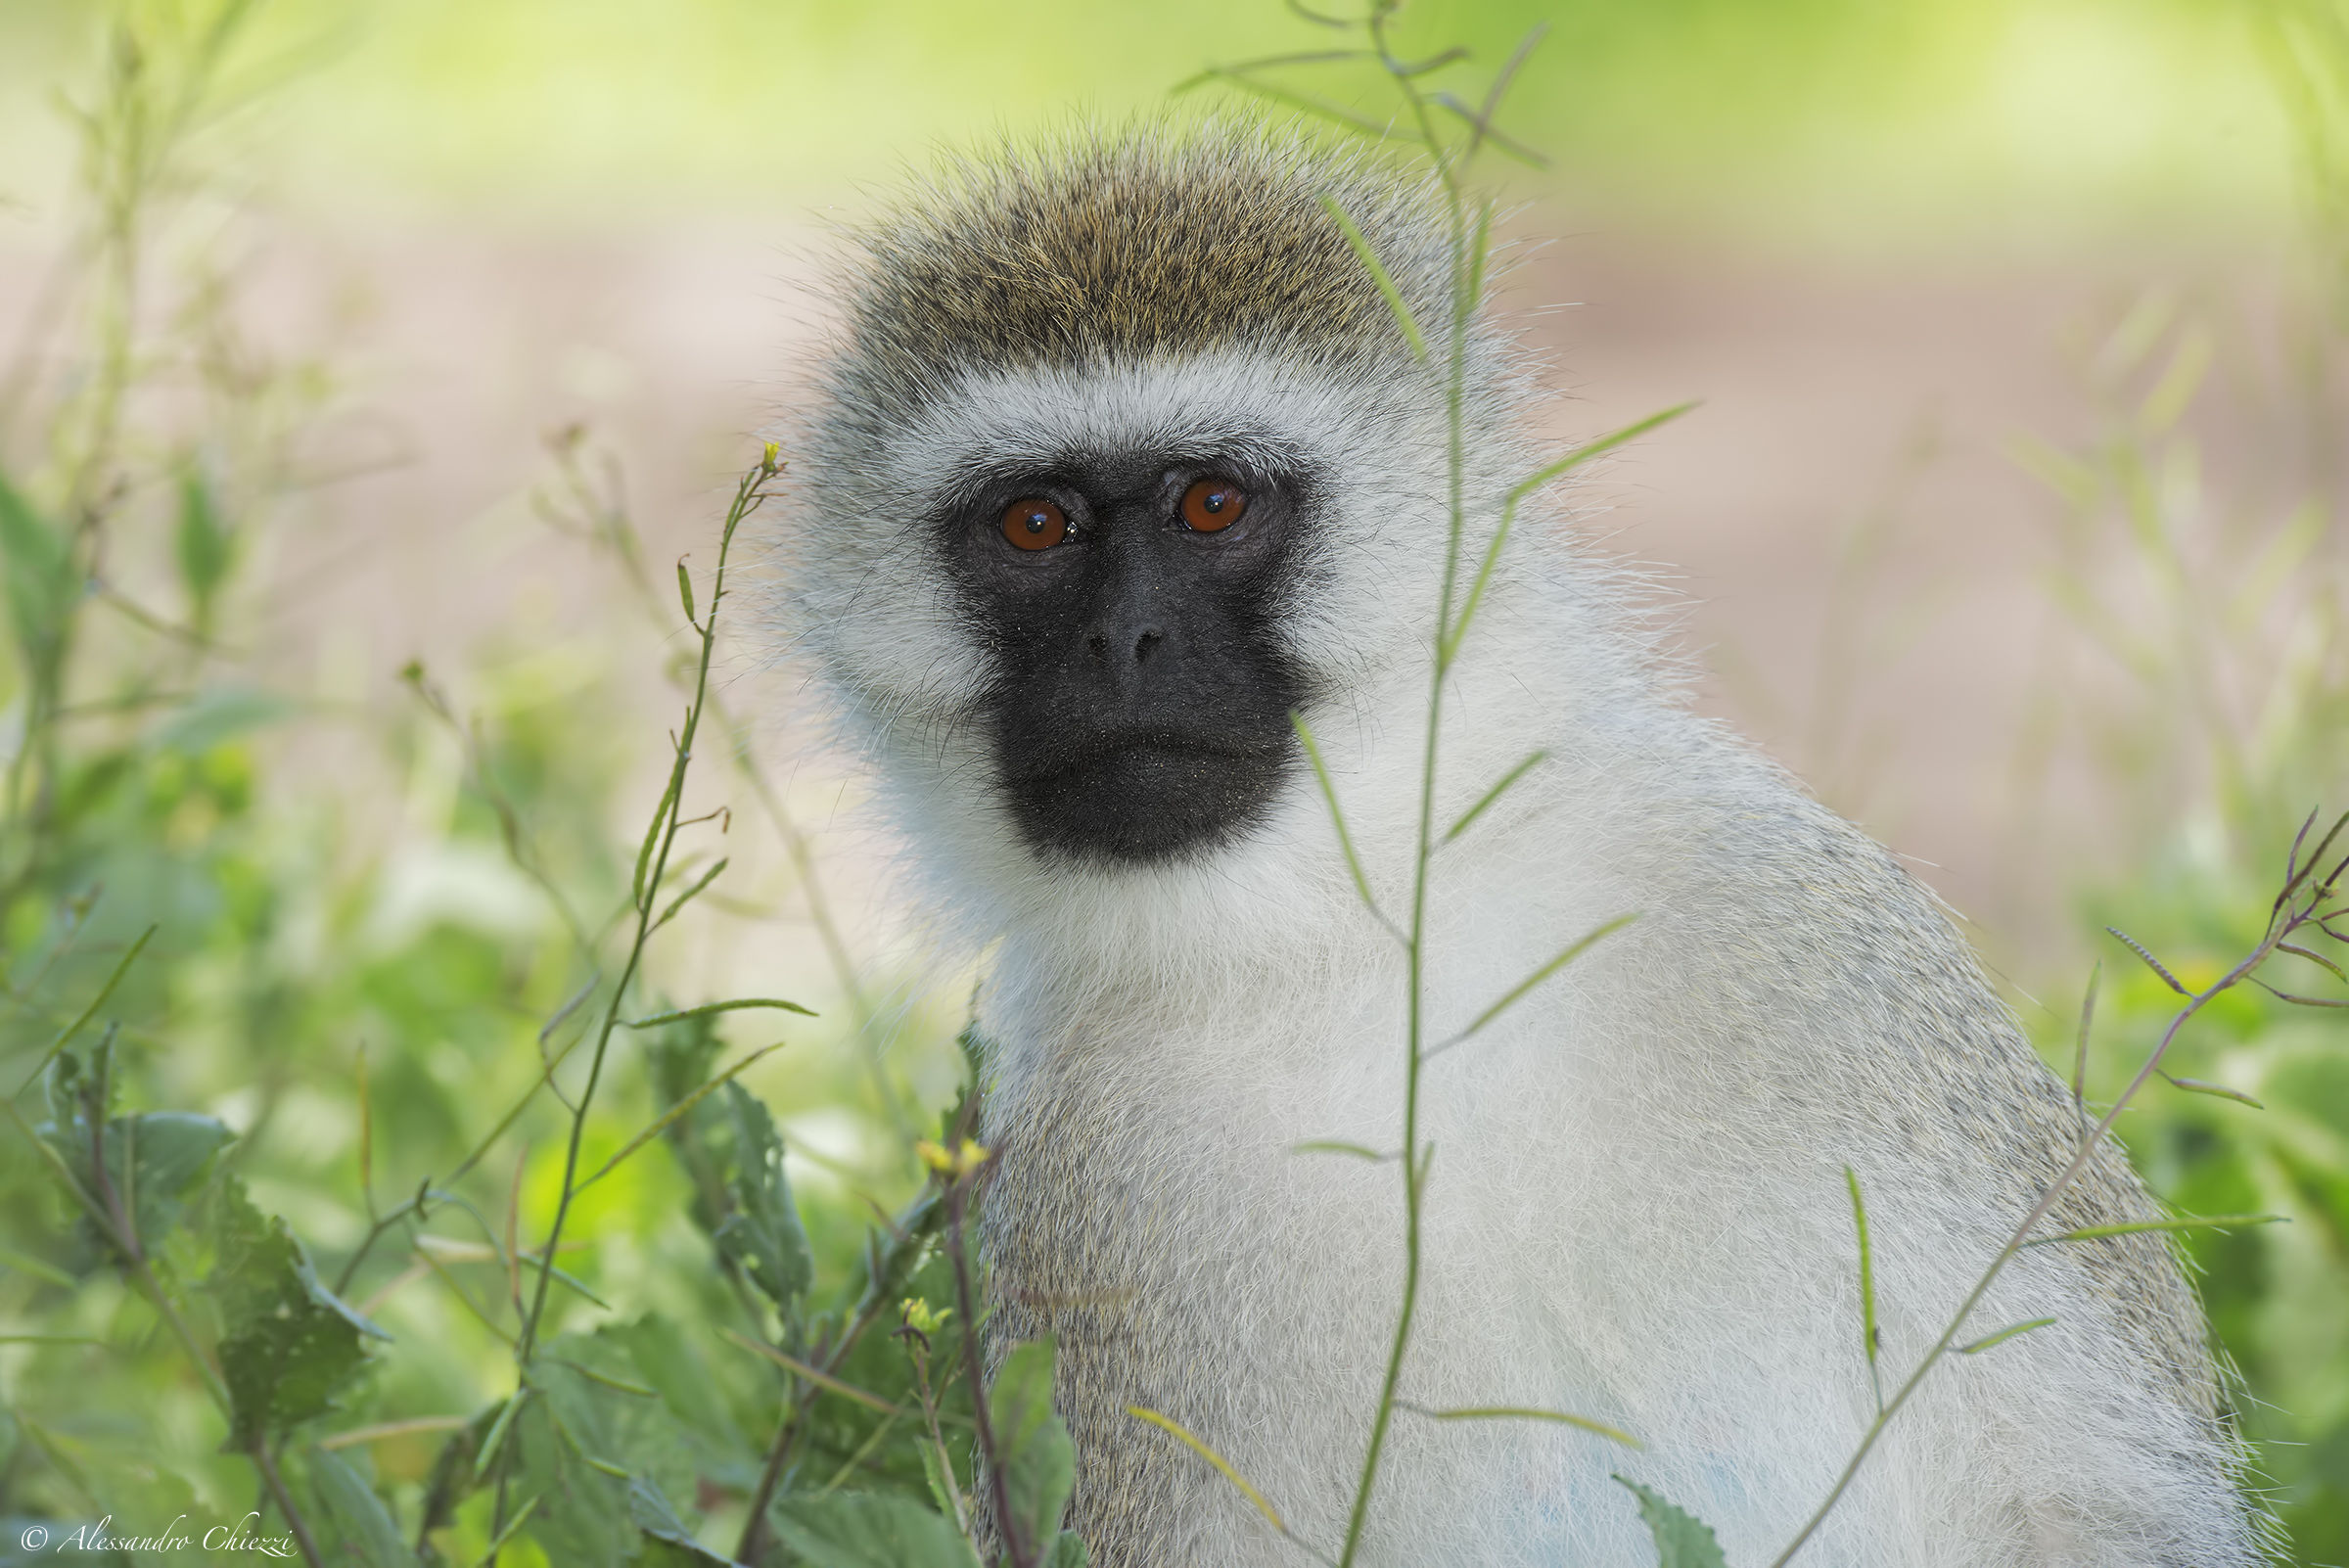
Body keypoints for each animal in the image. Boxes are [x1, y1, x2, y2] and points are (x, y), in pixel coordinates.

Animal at [769, 125, 2264, 1567]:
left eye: (1211, 504)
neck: (1358, 945)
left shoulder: (1809, 931)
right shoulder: (1068, 1188)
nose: (1120, 642)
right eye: (1035, 525)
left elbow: (2102, 1501)